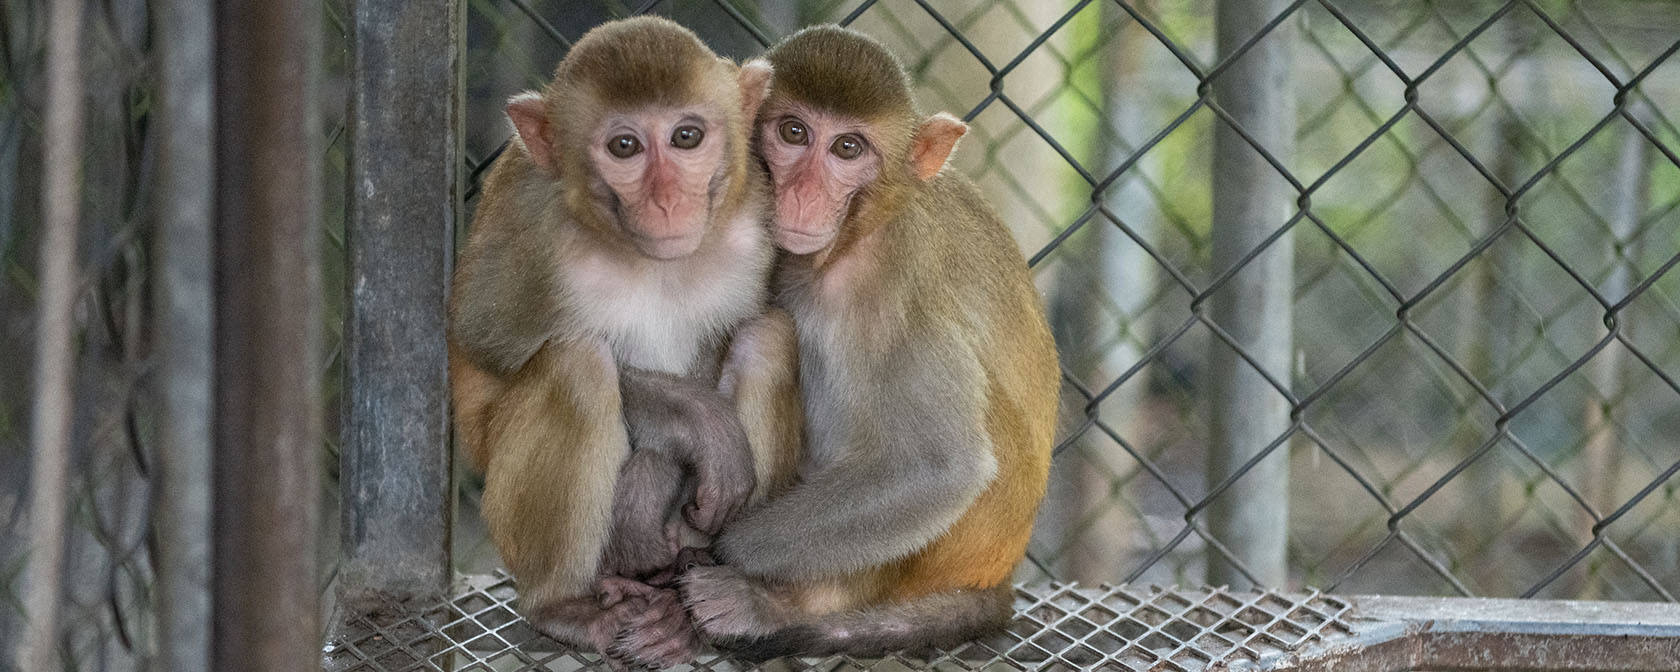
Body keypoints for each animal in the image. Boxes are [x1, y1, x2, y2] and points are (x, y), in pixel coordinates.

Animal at [446, 15, 799, 665]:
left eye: (686, 137)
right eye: (625, 148)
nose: (666, 200)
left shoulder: (757, 213)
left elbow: (746, 329)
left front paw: (652, 484)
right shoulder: (530, 233)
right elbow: (483, 346)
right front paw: (695, 431)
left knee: (769, 338)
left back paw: (691, 599)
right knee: (578, 368)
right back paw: (564, 606)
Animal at [678, 27, 1048, 661]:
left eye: (848, 149)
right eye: (793, 132)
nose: (803, 193)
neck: (855, 234)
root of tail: (992, 576)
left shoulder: (896, 288)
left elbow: (939, 470)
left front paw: (730, 551)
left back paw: (771, 604)